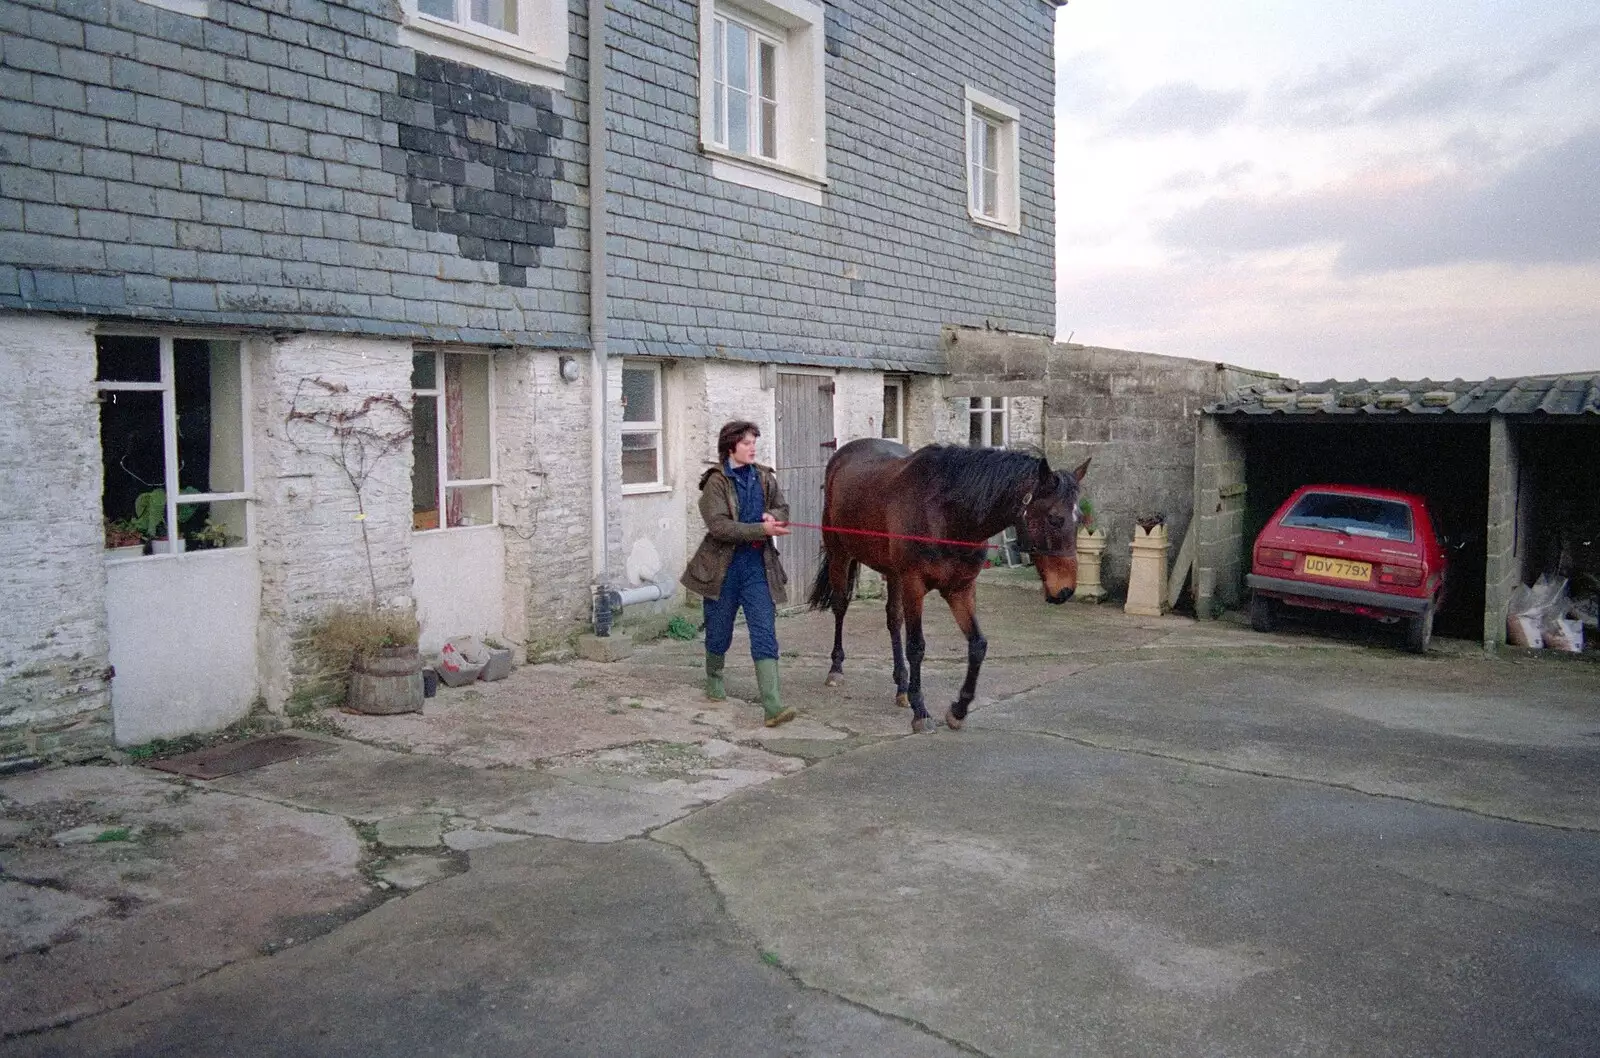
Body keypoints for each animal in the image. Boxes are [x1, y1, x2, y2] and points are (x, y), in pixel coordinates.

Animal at [812, 438, 1088, 733]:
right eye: (1055, 518)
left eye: (1080, 518)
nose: (1065, 591)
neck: (946, 515)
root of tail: (843, 453)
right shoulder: (914, 584)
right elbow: (916, 646)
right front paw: (920, 711)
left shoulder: (960, 588)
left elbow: (978, 644)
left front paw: (959, 709)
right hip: (840, 554)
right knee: (840, 606)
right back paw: (836, 669)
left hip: (893, 573)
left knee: (893, 619)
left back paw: (901, 685)